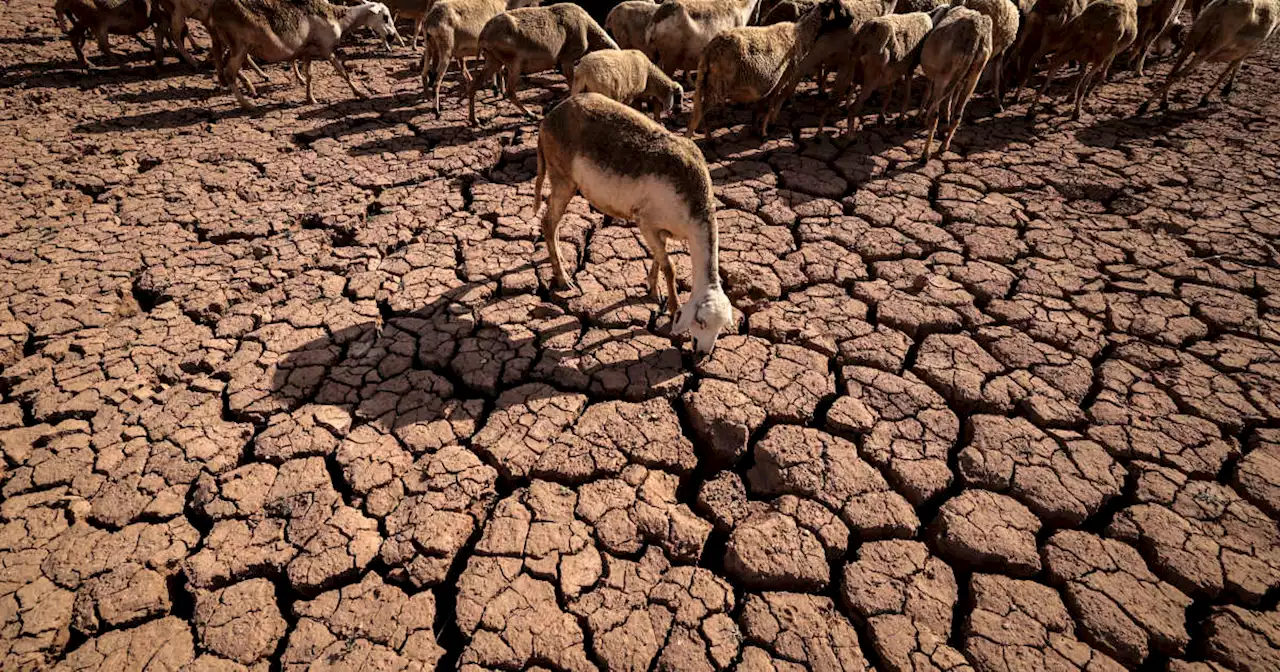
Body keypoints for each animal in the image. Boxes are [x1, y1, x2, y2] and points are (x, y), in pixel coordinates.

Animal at [207, 0, 396, 109]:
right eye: (385, 17)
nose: (393, 36)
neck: (340, 18)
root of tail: (215, 11)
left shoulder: (307, 51)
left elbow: (309, 75)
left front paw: (310, 98)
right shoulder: (326, 48)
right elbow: (343, 73)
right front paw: (360, 94)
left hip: (233, 45)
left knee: (225, 64)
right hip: (239, 46)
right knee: (229, 72)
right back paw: (246, 104)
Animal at [465, 2, 619, 124]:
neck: (586, 27)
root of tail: (483, 35)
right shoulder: (567, 59)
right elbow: (571, 82)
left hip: (493, 60)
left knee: (474, 86)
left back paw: (474, 120)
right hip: (514, 63)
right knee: (510, 92)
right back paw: (531, 115)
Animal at [529, 94, 732, 355]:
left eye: (721, 326)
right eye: (701, 322)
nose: (703, 354)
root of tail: (550, 117)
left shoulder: (662, 231)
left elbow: (659, 260)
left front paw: (653, 291)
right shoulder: (645, 223)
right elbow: (670, 267)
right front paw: (672, 309)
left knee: (552, 224)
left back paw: (561, 262)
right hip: (563, 179)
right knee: (548, 222)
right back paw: (564, 279)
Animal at [1141, 0, 1280, 112]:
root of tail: (1223, 5)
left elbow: (1235, 66)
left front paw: (1226, 89)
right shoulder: (1251, 48)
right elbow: (1227, 71)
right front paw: (1207, 98)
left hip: (1194, 38)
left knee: (1172, 72)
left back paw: (1163, 103)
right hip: (1210, 47)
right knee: (1178, 74)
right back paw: (1145, 105)